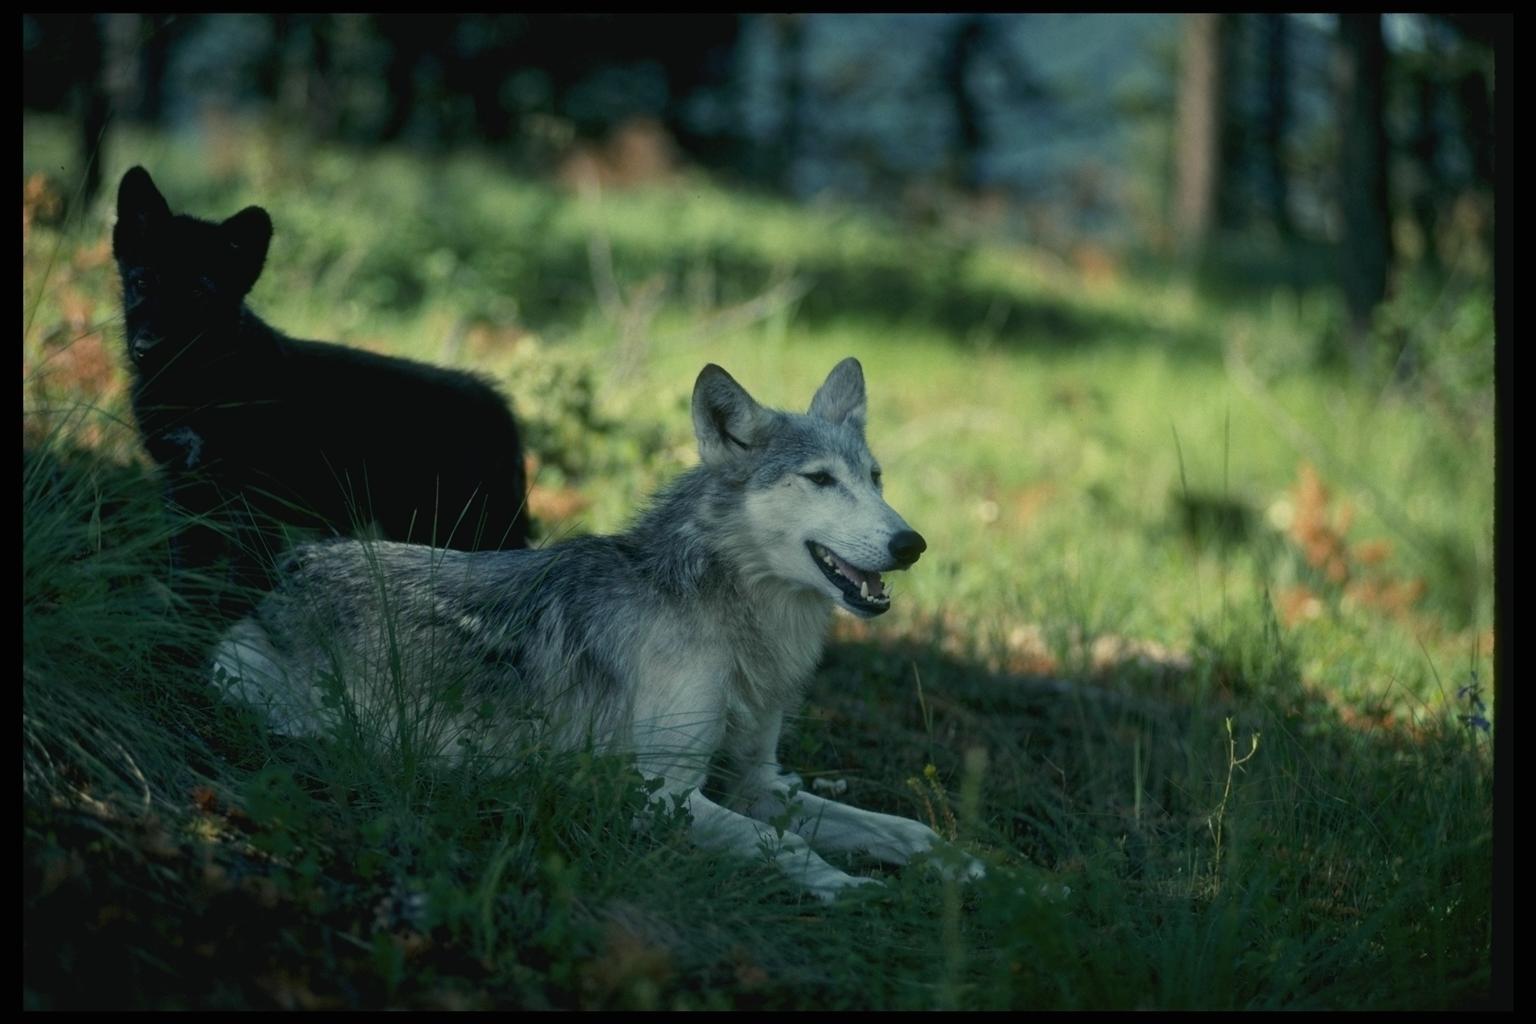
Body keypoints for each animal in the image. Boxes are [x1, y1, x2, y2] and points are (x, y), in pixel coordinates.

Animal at [108, 167, 528, 617]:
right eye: (142, 282)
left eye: (197, 293)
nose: (147, 349)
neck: (200, 385)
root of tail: (497, 404)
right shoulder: (187, 492)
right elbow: (189, 577)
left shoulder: (251, 505)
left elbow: (240, 585)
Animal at [207, 359, 983, 896]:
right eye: (820, 480)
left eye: (875, 478)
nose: (911, 543)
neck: (729, 623)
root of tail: (290, 570)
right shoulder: (657, 795)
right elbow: (788, 847)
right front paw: (851, 891)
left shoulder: (759, 780)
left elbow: (904, 826)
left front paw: (980, 871)